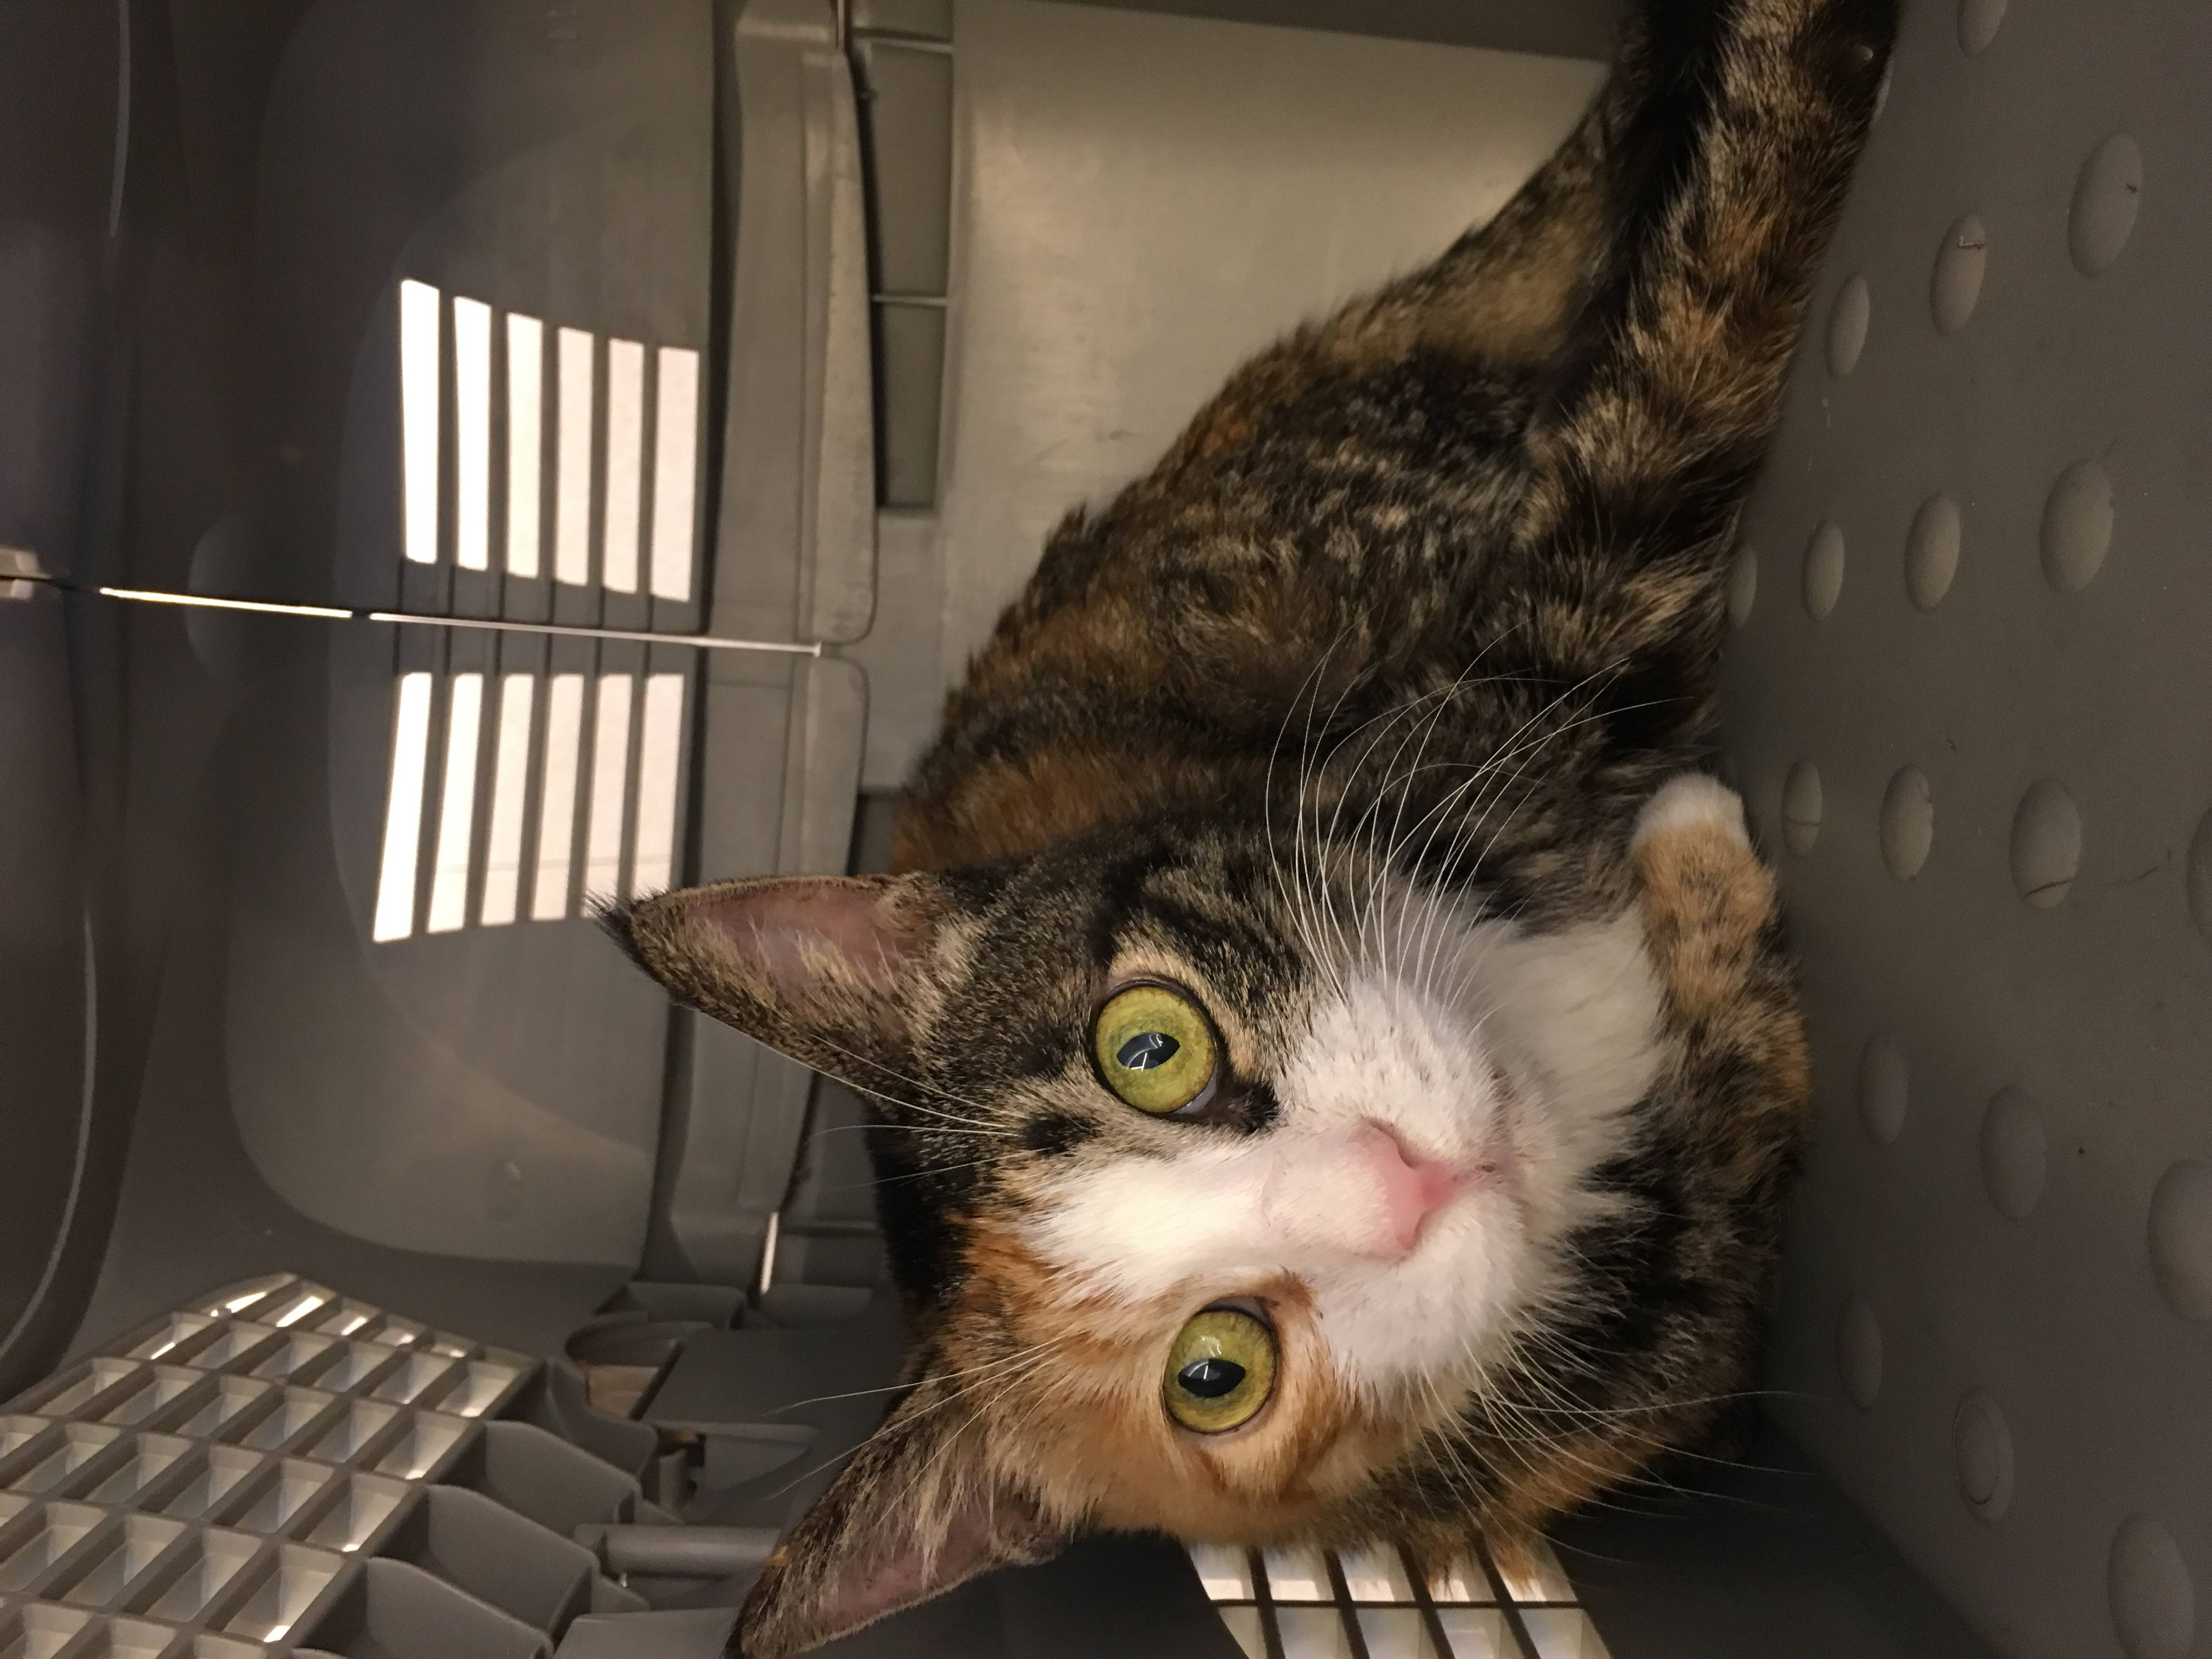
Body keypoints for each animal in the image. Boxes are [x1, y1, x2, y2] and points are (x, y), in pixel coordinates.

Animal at [607, 0, 1893, 1651]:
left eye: (1149, 1046)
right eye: (1218, 1373)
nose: (1410, 1178)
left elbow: (1702, 298)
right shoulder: (1678, 1345)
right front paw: (1697, 840)